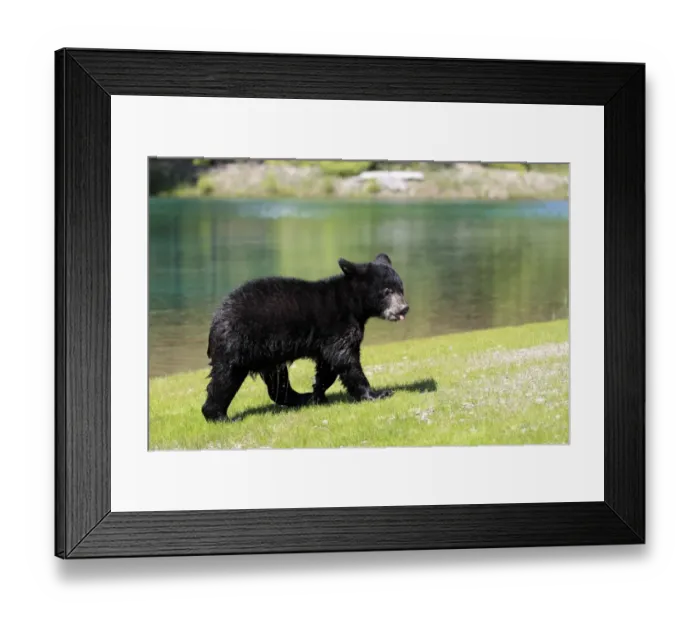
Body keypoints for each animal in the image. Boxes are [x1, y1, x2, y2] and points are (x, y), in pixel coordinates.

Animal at [201, 253, 410, 422]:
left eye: (401, 288)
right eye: (387, 291)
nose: (404, 308)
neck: (352, 304)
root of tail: (215, 319)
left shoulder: (329, 338)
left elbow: (327, 366)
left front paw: (318, 392)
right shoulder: (338, 326)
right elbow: (345, 360)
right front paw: (376, 393)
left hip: (267, 353)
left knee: (277, 382)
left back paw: (302, 396)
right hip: (237, 343)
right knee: (225, 378)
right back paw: (218, 415)